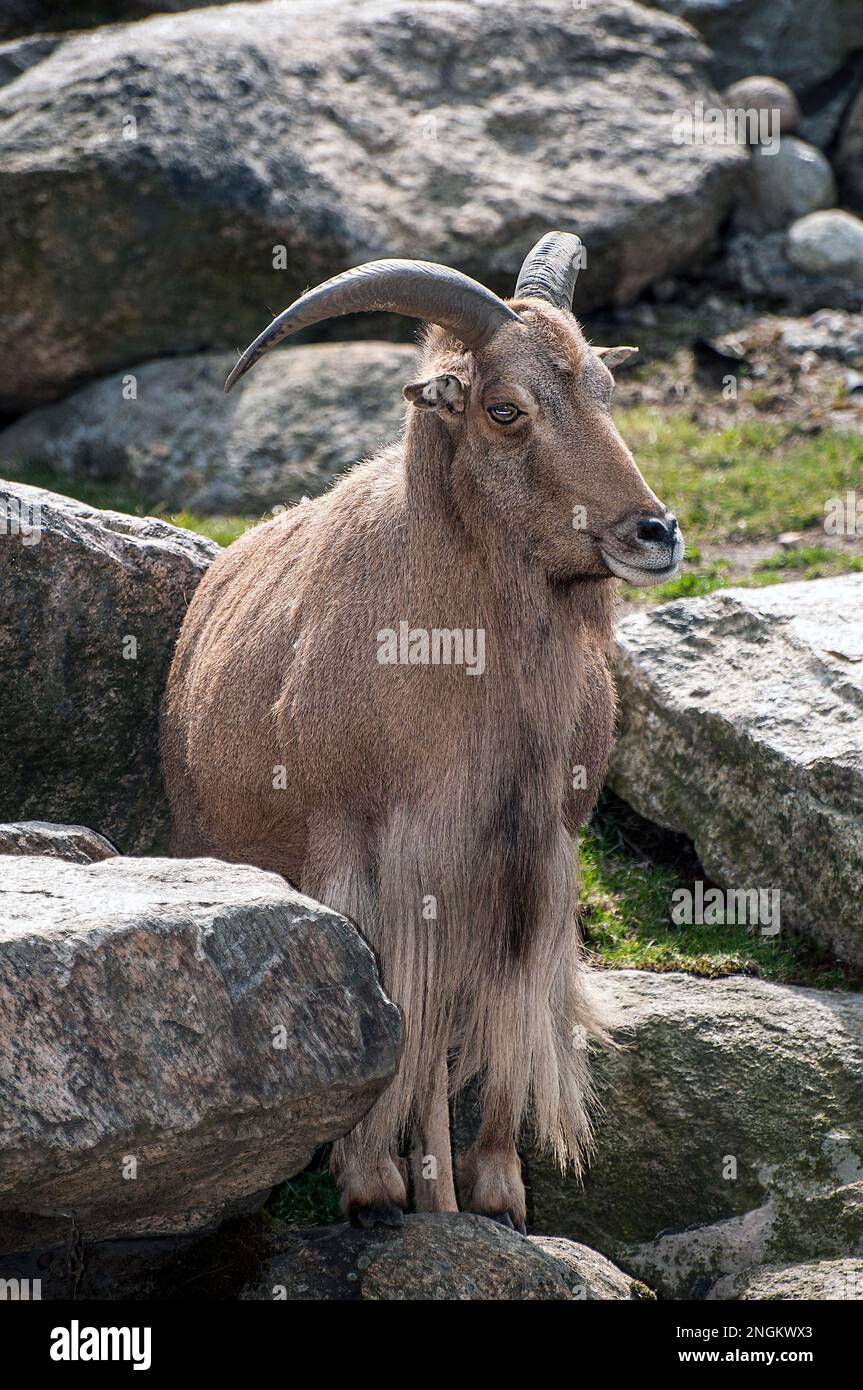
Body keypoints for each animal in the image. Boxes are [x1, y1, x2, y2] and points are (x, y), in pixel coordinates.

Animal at [159, 233, 680, 1234]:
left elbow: (508, 1018)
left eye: (603, 385)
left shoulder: (536, 864)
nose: (654, 532)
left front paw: (500, 1196)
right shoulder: (388, 865)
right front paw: (396, 1189)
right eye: (504, 409)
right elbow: (410, 1034)